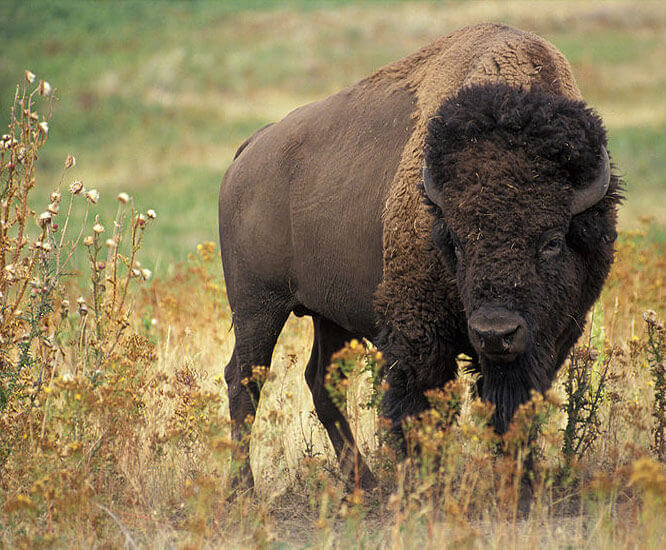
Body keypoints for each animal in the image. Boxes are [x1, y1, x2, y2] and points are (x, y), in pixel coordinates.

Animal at [218, 23, 622, 487]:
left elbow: (513, 408)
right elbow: (419, 407)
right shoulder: (419, 334)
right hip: (257, 306)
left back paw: (364, 483)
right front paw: (425, 481)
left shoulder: (547, 340)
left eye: (552, 241)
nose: (495, 332)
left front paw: (518, 481)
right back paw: (244, 490)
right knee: (244, 381)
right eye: (457, 242)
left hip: (329, 314)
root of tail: (249, 151)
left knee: (320, 382)